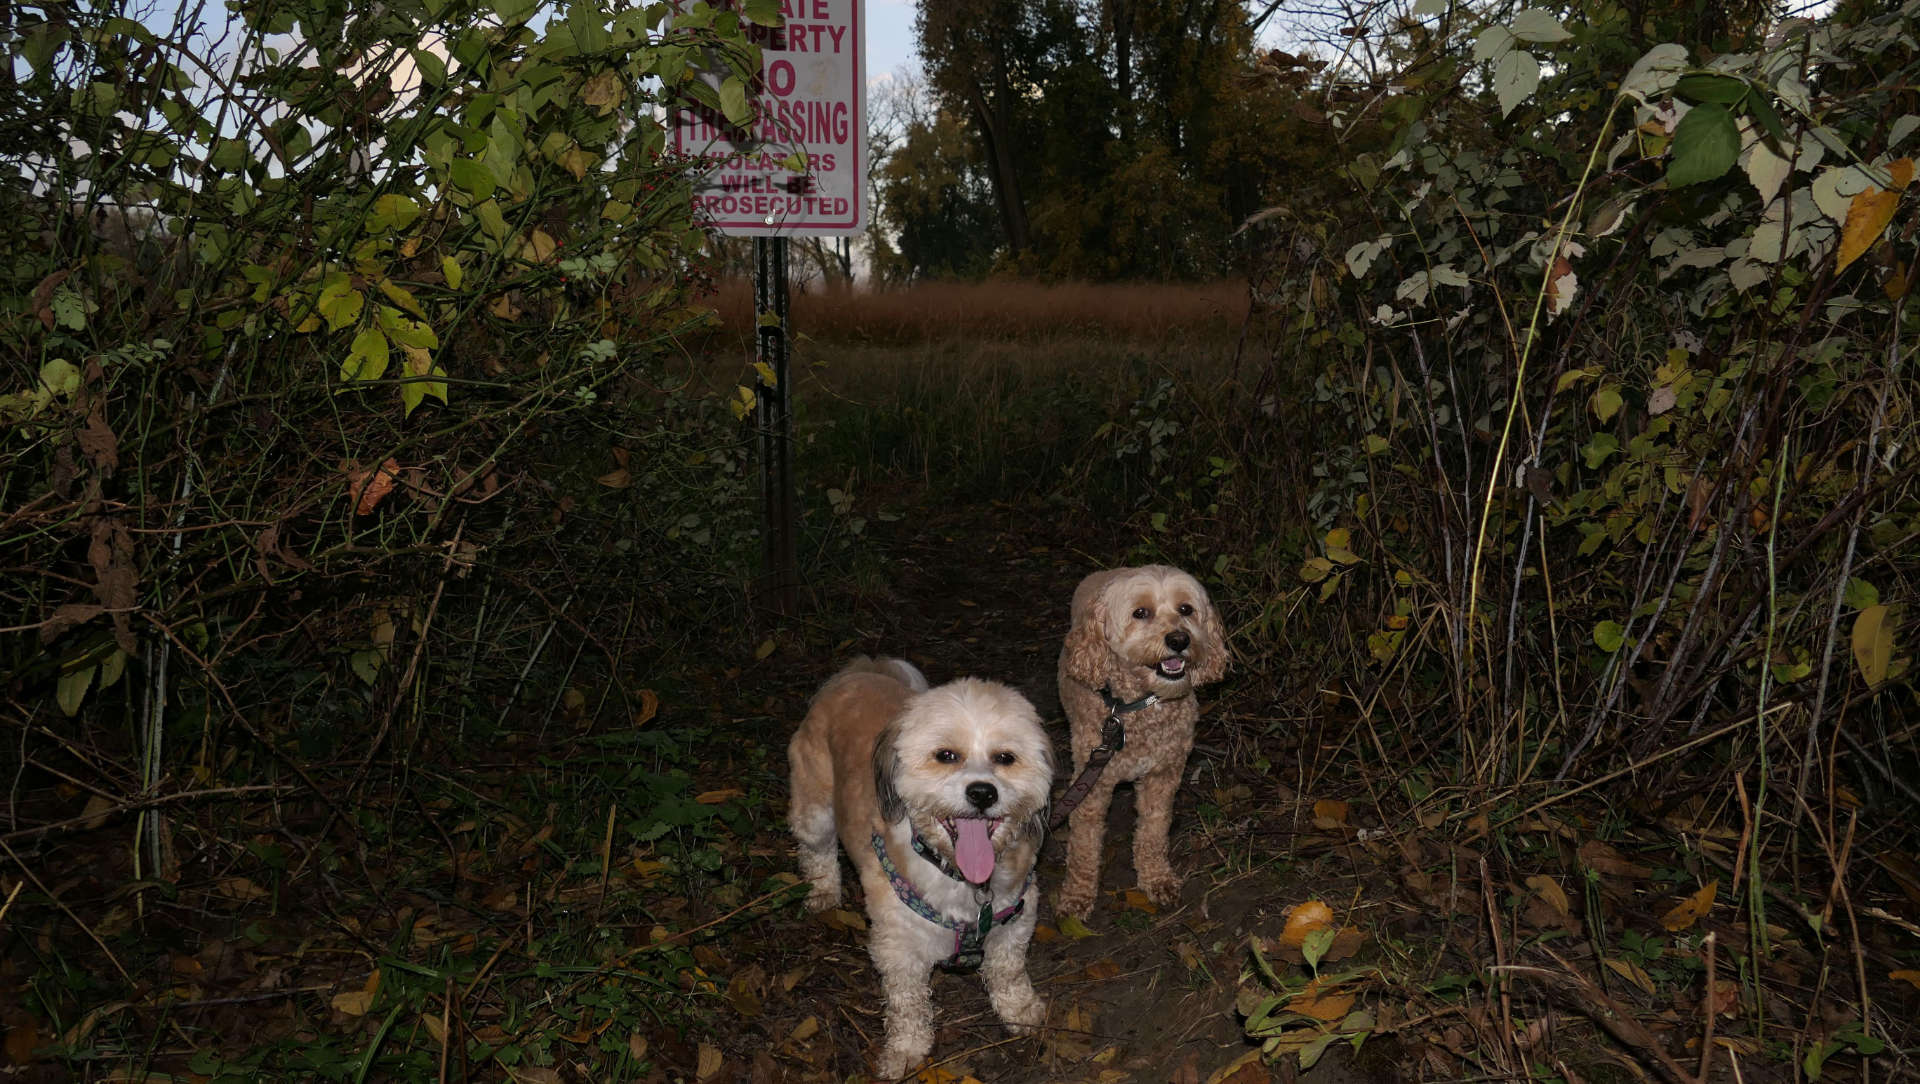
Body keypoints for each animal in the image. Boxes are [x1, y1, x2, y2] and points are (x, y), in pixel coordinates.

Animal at [787, 656, 1059, 1074]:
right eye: (946, 755)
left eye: (1005, 758)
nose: (983, 792)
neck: (959, 878)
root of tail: (861, 670)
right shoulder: (899, 949)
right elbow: (908, 1006)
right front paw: (906, 1050)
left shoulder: (1014, 923)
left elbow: (1009, 972)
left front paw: (1020, 1010)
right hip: (814, 813)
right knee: (816, 852)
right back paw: (822, 892)